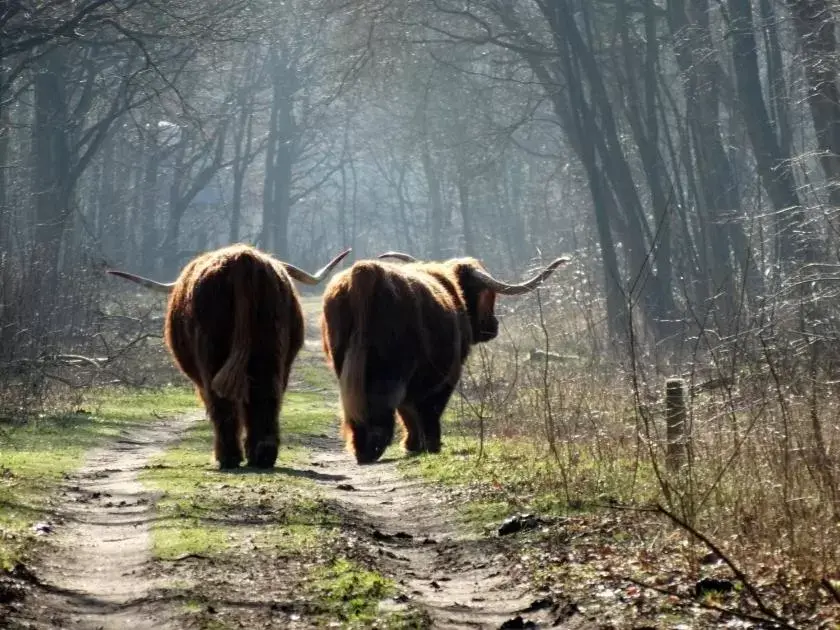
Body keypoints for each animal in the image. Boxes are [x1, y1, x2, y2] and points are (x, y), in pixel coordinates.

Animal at [109, 244, 352, 472]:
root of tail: (242, 259)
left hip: (211, 352)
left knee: (220, 401)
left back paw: (227, 457)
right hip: (270, 348)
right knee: (266, 394)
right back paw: (262, 454)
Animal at [322, 252, 572, 464]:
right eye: (489, 296)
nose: (493, 326)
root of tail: (367, 271)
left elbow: (410, 410)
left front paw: (413, 444)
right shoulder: (447, 374)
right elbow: (427, 408)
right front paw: (429, 445)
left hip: (345, 363)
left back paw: (362, 448)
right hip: (390, 369)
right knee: (384, 401)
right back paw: (372, 449)